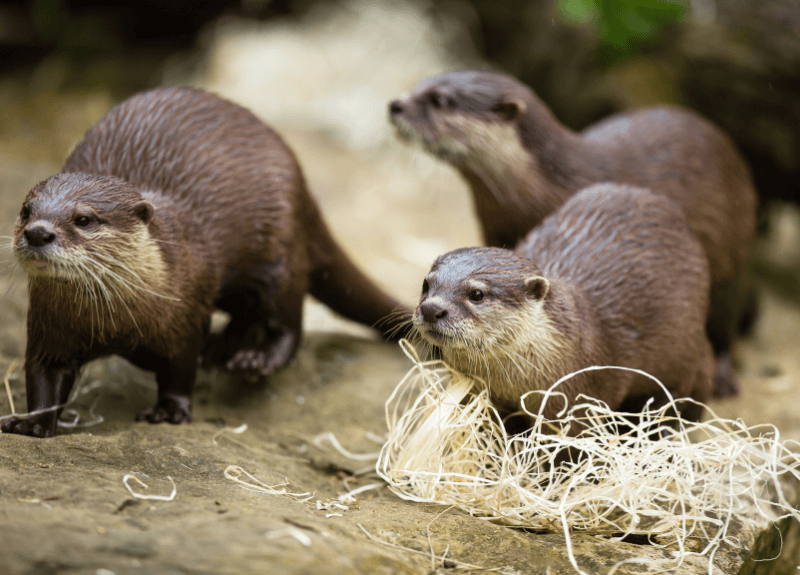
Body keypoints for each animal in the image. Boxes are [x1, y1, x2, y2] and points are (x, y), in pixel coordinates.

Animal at [1, 85, 406, 438]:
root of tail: (302, 184)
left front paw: (169, 411)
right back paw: (223, 348)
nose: (37, 233)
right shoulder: (49, 326)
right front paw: (30, 423)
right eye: (26, 210)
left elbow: (180, 369)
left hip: (279, 252)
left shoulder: (186, 313)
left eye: (84, 219)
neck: (115, 324)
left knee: (289, 320)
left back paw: (255, 359)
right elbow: (42, 376)